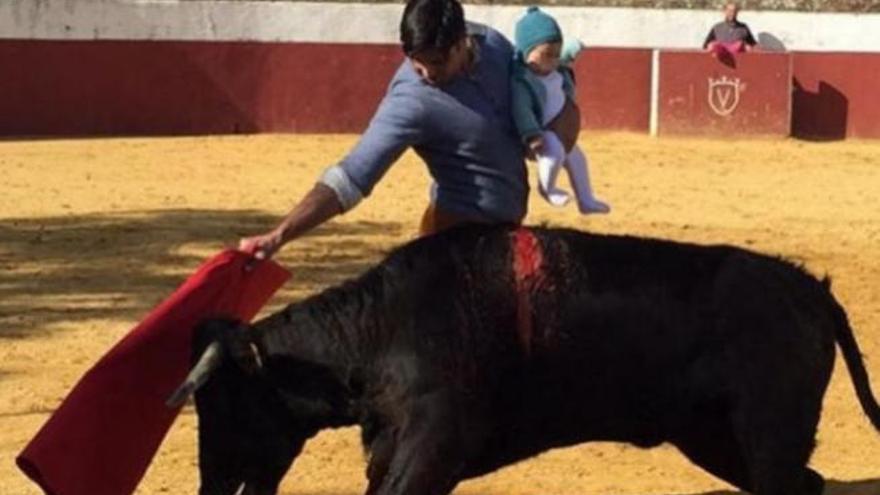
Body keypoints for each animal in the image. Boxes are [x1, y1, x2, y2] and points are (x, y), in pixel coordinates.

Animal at [167, 226, 880, 495]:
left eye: (226, 403)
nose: (210, 485)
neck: (380, 329)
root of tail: (808, 286)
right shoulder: (394, 447)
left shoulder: (433, 444)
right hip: (713, 437)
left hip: (767, 433)